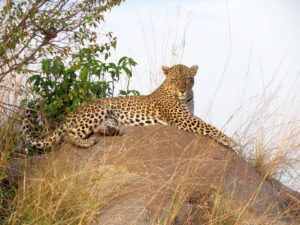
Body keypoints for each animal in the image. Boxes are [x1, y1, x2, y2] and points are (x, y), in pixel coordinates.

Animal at [23, 64, 237, 149]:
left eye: (187, 79)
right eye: (175, 79)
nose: (183, 90)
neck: (186, 99)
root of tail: (70, 114)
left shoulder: (189, 116)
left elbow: (205, 123)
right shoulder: (182, 119)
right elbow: (208, 126)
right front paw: (229, 140)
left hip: (109, 116)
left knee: (99, 128)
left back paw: (112, 131)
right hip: (99, 109)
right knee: (69, 135)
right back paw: (86, 143)